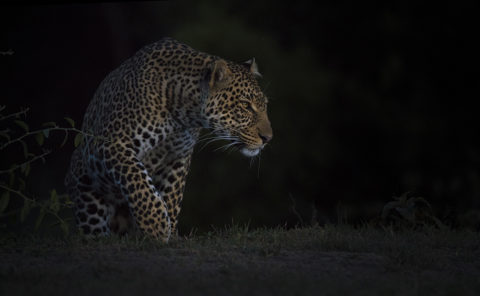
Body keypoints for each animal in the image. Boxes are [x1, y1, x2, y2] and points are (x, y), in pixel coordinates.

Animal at [64, 37, 274, 242]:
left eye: (264, 105)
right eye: (246, 105)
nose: (268, 138)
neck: (183, 114)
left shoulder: (178, 157)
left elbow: (172, 196)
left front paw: (170, 232)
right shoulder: (111, 143)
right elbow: (138, 181)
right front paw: (156, 225)